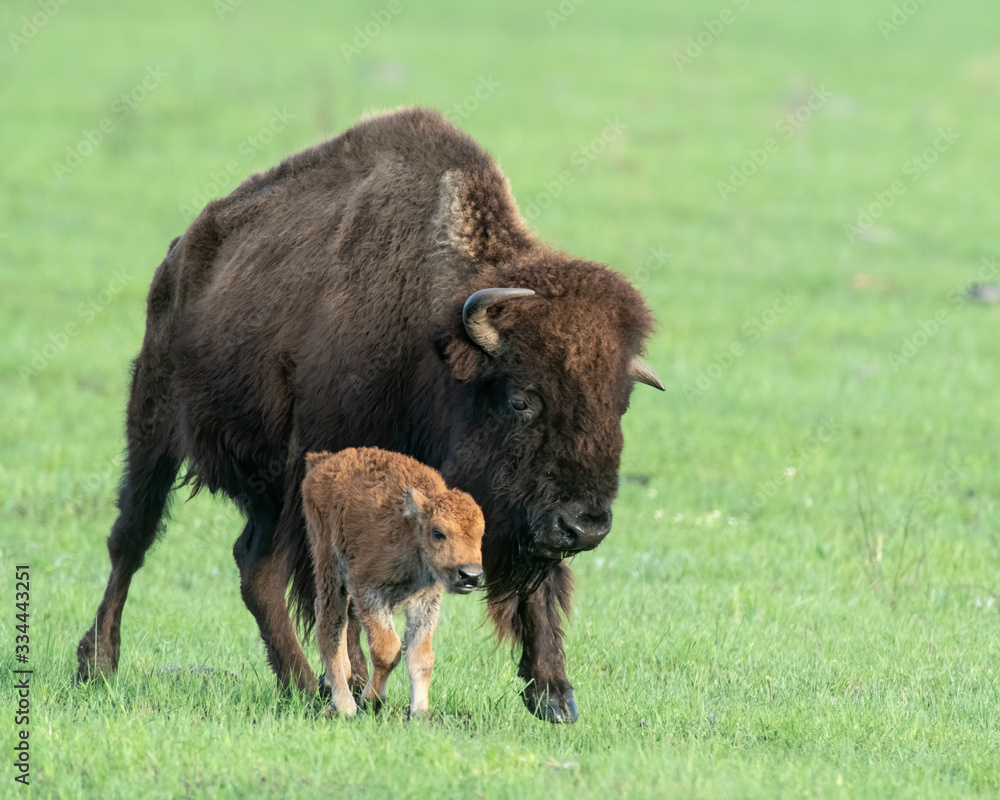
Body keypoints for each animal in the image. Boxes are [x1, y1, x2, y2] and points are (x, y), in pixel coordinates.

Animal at [302, 444, 486, 720]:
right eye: (438, 533)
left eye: (480, 534)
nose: (471, 575)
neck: (413, 531)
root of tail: (321, 462)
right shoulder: (368, 591)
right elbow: (388, 650)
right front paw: (372, 701)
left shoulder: (425, 602)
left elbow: (421, 657)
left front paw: (419, 713)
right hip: (329, 565)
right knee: (329, 623)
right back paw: (345, 705)